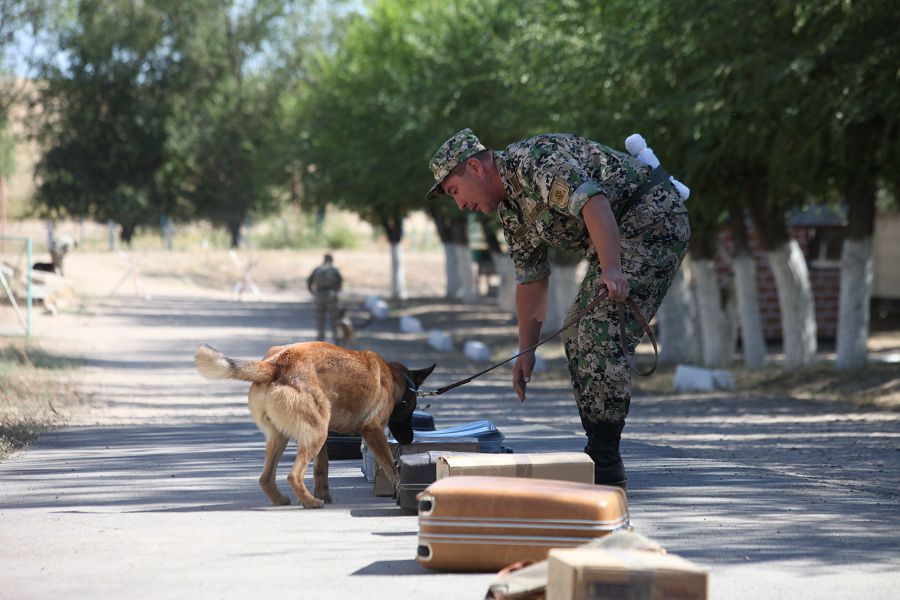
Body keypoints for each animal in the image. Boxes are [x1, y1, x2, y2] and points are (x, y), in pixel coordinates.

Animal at [195, 342, 434, 506]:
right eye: (411, 408)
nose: (409, 439)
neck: (393, 378)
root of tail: (276, 364)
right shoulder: (373, 430)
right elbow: (390, 466)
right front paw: (398, 490)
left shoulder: (324, 440)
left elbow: (322, 467)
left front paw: (324, 494)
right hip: (316, 434)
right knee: (293, 475)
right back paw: (310, 503)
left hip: (288, 437)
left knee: (265, 478)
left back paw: (285, 500)